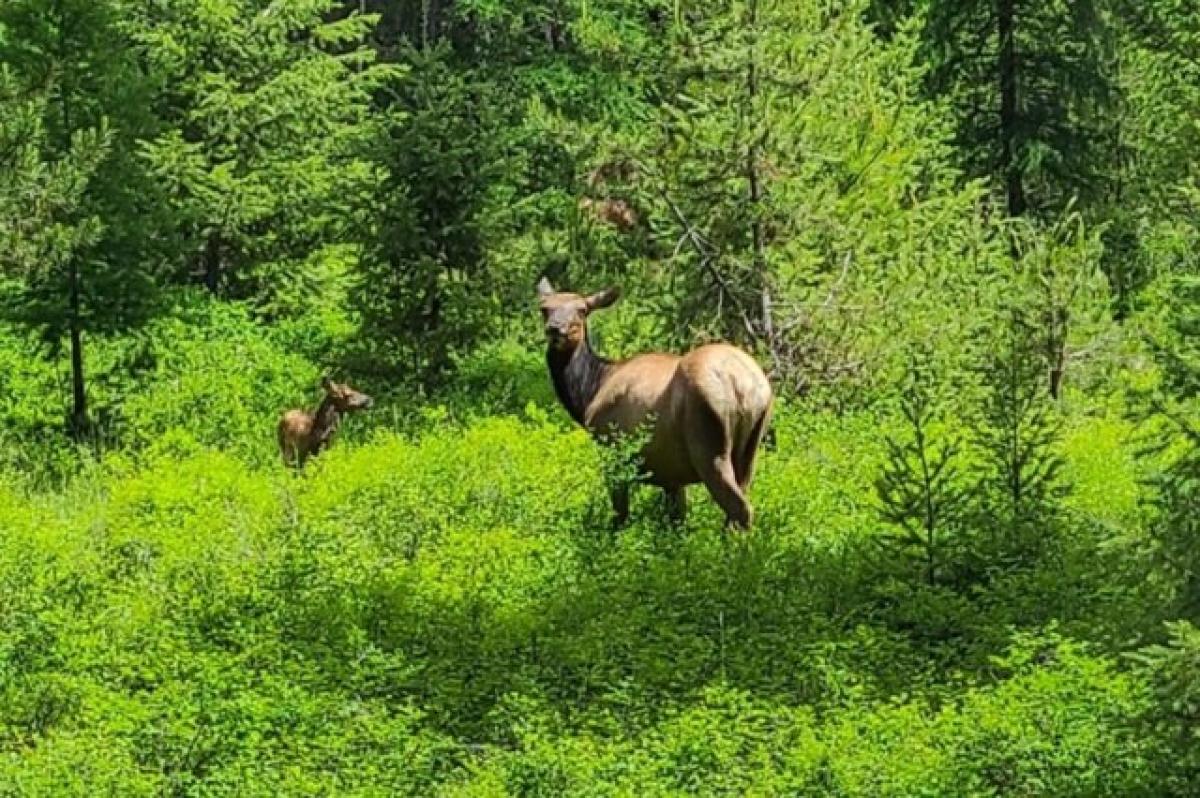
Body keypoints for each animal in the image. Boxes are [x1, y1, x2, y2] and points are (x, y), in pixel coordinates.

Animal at [537, 277, 777, 525]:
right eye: (544, 308)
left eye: (582, 310)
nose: (555, 328)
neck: (589, 392)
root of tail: (743, 387)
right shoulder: (671, 476)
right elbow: (677, 518)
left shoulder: (612, 450)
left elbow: (620, 516)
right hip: (751, 448)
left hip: (709, 443)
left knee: (739, 508)